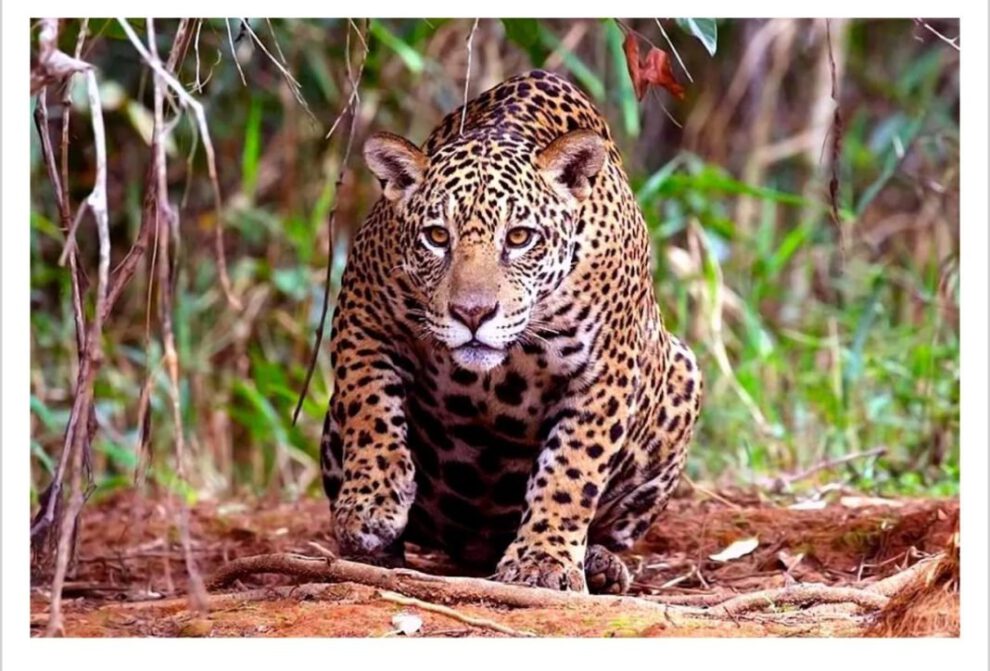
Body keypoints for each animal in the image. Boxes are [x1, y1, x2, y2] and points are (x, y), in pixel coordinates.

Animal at [319, 69, 702, 594]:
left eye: (520, 238)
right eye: (437, 237)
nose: (472, 313)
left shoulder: (606, 369)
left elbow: (572, 468)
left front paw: (543, 560)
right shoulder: (363, 310)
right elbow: (370, 405)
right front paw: (371, 504)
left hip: (683, 374)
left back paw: (600, 564)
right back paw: (373, 553)